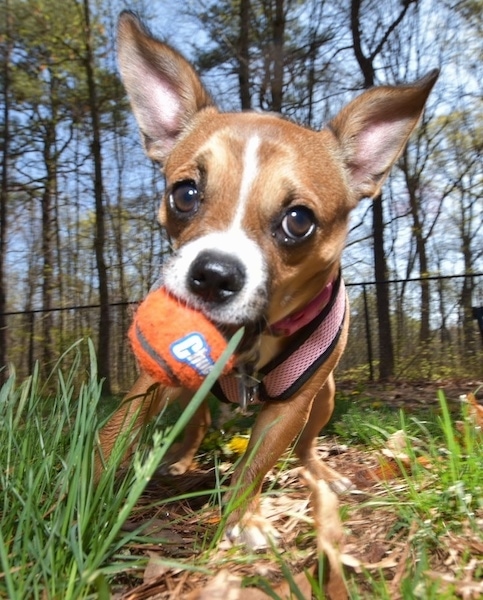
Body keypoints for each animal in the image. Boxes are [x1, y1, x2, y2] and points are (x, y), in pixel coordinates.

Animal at [96, 11, 440, 552]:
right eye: (185, 193)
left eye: (298, 220)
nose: (213, 274)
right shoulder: (154, 381)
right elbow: (118, 433)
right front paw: (83, 490)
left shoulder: (290, 408)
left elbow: (257, 464)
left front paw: (242, 517)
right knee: (196, 424)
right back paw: (181, 460)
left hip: (324, 398)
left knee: (306, 448)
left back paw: (321, 473)